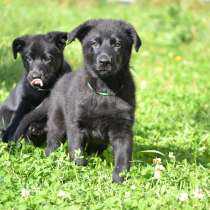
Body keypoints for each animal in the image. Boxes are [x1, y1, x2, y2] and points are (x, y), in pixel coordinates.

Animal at [13, 20, 141, 184]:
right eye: (94, 43)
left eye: (117, 44)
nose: (104, 61)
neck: (103, 90)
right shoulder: (76, 124)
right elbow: (76, 151)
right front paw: (79, 170)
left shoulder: (123, 129)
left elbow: (123, 155)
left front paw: (119, 178)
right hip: (57, 122)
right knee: (52, 143)